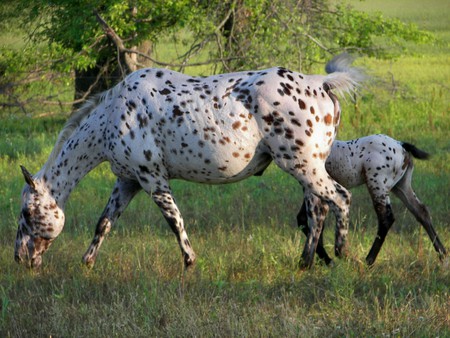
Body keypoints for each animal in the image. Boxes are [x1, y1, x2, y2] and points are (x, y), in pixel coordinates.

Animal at [16, 52, 366, 270]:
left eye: (28, 212)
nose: (21, 259)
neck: (114, 115)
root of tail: (320, 82)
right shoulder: (127, 182)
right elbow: (104, 222)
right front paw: (87, 262)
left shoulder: (153, 180)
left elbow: (175, 221)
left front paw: (189, 262)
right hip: (308, 169)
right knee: (318, 210)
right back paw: (305, 263)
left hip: (303, 167)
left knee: (340, 199)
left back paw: (342, 253)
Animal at [298, 133, 448, 266]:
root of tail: (401, 145)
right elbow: (306, 220)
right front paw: (320, 260)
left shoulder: (313, 190)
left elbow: (311, 220)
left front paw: (316, 261)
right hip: (401, 186)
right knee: (421, 212)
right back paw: (443, 257)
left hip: (377, 185)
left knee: (386, 219)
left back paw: (368, 261)